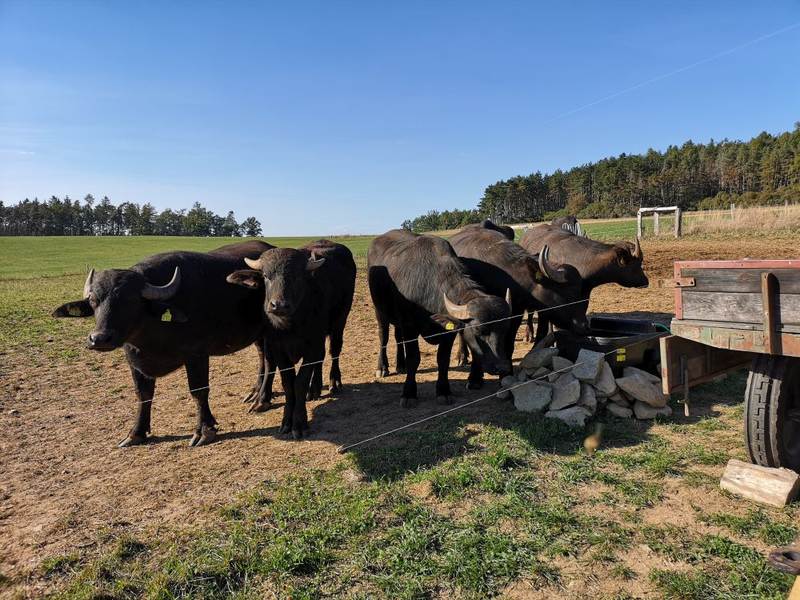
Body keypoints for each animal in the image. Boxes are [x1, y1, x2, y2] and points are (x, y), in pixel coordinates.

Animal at [53, 239, 274, 446]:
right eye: (93, 300)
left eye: (130, 300)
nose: (99, 338)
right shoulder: (134, 361)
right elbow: (143, 395)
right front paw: (135, 433)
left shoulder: (197, 355)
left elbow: (199, 391)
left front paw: (204, 430)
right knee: (262, 357)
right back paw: (255, 392)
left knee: (270, 361)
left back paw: (263, 399)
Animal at [223, 239, 352, 440]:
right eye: (266, 276)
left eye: (297, 276)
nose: (279, 305)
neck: (290, 326)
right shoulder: (278, 348)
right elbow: (288, 382)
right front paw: (286, 421)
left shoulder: (312, 344)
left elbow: (299, 382)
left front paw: (299, 423)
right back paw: (314, 388)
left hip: (340, 320)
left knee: (334, 351)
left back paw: (334, 382)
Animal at [368, 229, 512, 404]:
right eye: (478, 330)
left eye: (505, 329)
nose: (503, 367)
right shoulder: (410, 326)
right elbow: (413, 359)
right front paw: (409, 393)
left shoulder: (448, 332)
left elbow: (443, 360)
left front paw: (443, 391)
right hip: (380, 311)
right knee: (384, 337)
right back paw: (382, 367)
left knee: (397, 336)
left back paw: (400, 365)